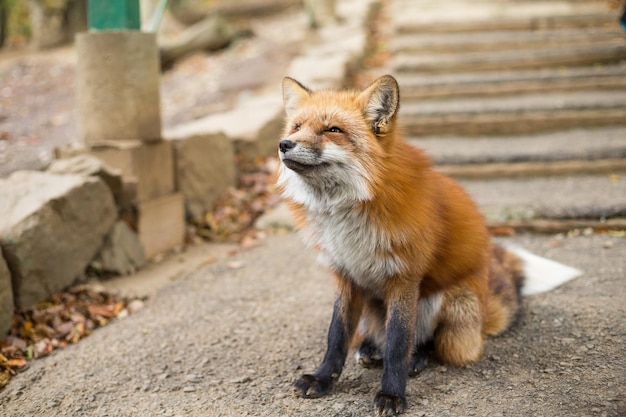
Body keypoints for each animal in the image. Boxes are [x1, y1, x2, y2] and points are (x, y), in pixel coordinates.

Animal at [276, 75, 576, 416]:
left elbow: (397, 344)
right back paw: (369, 348)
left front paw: (392, 394)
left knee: (434, 344)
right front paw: (323, 378)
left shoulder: (404, 278)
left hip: (444, 302)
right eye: (297, 127)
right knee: (373, 334)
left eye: (333, 130)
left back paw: (416, 358)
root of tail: (482, 318)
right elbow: (337, 336)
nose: (284, 144)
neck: (347, 215)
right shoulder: (345, 275)